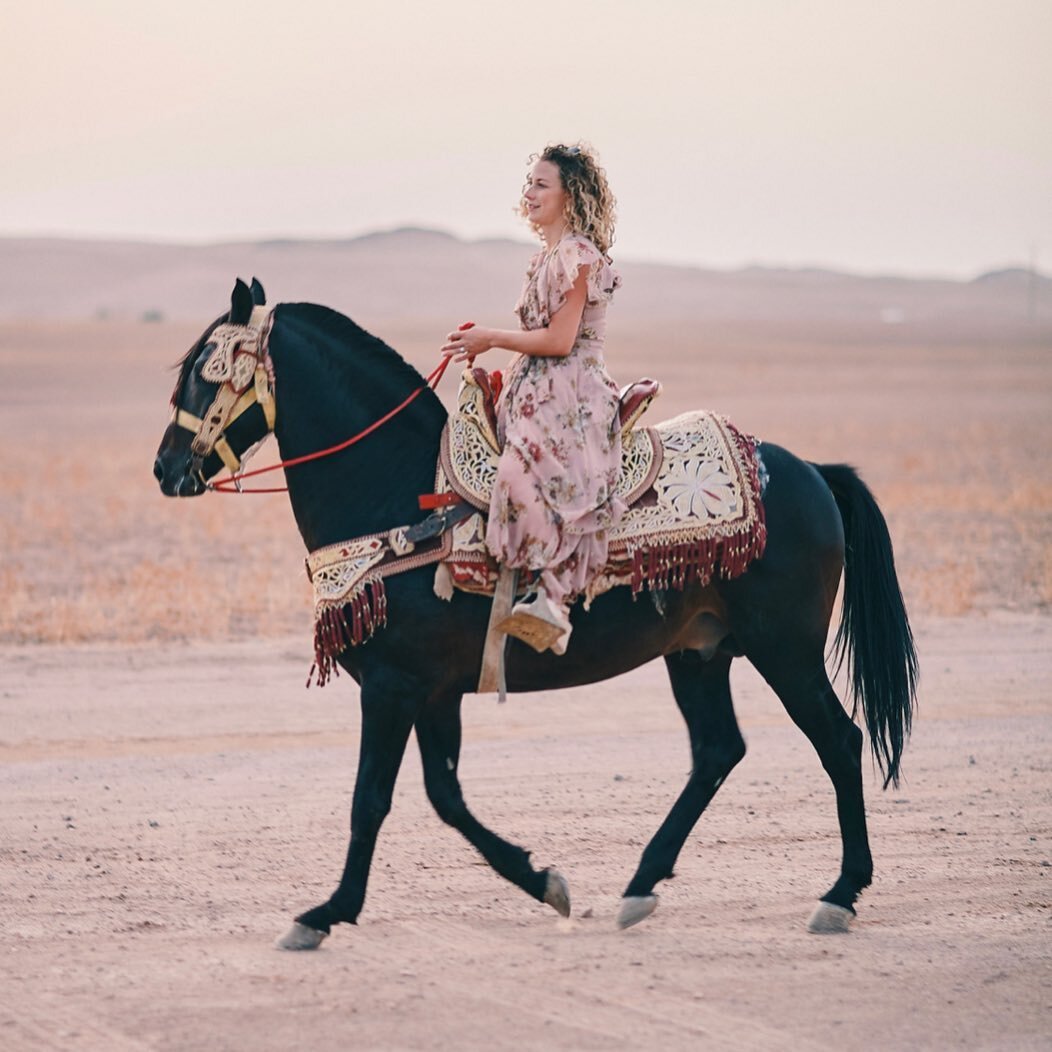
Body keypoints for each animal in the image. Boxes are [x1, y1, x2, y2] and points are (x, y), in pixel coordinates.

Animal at [152, 277, 917, 946]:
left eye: (206, 370)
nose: (165, 468)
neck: (400, 498)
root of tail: (814, 472)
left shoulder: (393, 686)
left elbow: (370, 800)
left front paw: (324, 913)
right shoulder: (433, 691)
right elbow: (445, 796)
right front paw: (544, 881)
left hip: (784, 648)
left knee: (839, 741)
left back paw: (840, 894)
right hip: (698, 651)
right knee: (717, 750)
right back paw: (641, 884)